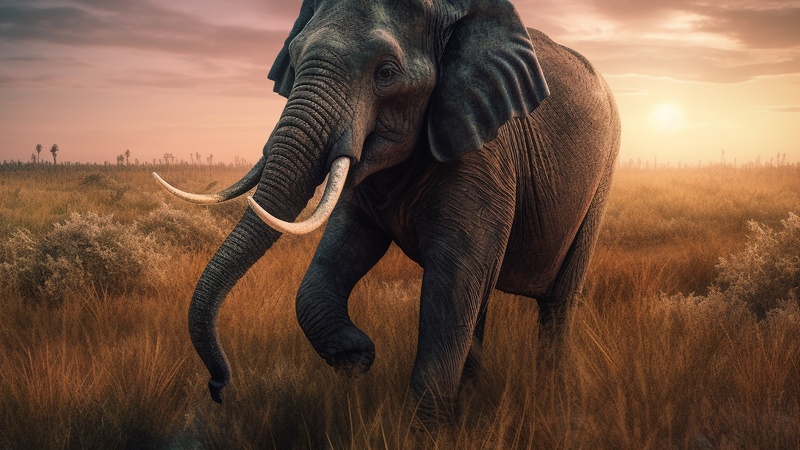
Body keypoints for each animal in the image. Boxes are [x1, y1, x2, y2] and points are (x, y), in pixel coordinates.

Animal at [154, 0, 620, 428]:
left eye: (386, 73)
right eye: (295, 56)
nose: (218, 387)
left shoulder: (485, 155)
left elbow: (451, 284)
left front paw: (426, 432)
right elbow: (343, 248)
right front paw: (357, 356)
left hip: (602, 179)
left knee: (555, 303)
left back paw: (551, 393)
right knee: (482, 299)